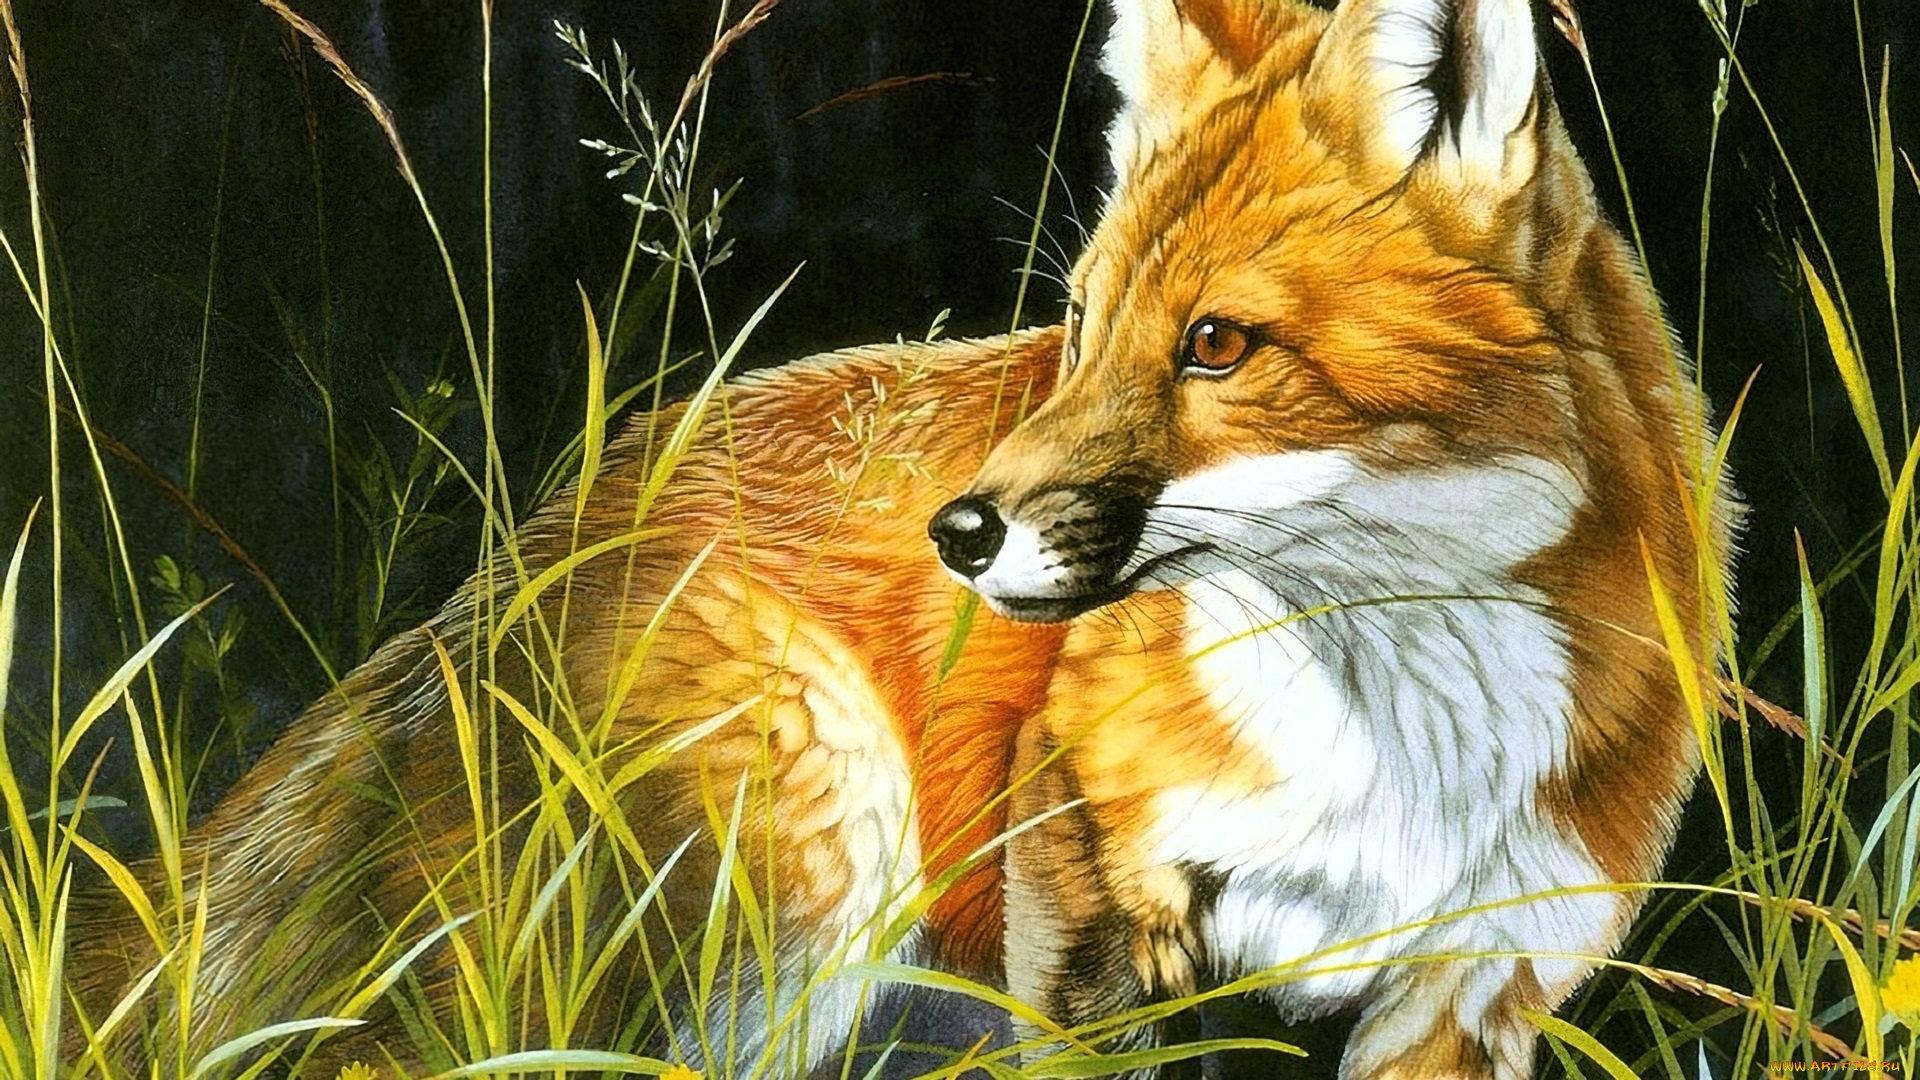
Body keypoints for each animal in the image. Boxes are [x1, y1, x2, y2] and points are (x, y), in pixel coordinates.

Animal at [69, 1, 1732, 1079]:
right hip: (818, 827)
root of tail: (505, 569)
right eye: (1081, 325)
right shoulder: (1082, 922)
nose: (963, 530)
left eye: (1215, 344)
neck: (1394, 760)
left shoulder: (1472, 993)